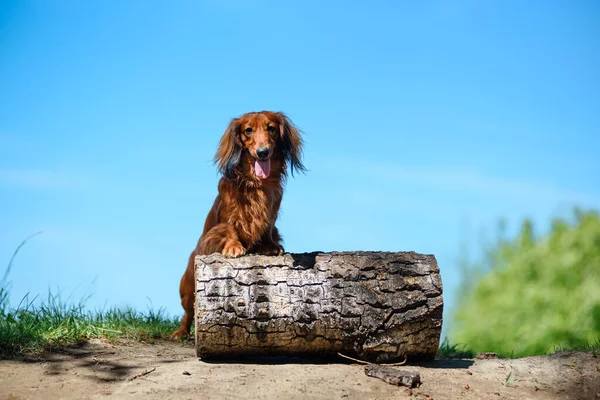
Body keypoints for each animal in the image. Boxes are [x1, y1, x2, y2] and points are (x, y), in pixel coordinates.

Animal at [171, 110, 308, 340]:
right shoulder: (227, 215)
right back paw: (180, 332)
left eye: (271, 128)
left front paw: (269, 246)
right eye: (248, 130)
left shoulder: (272, 210)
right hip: (189, 284)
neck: (256, 183)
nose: (262, 152)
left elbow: (268, 227)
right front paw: (234, 247)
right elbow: (230, 227)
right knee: (189, 311)